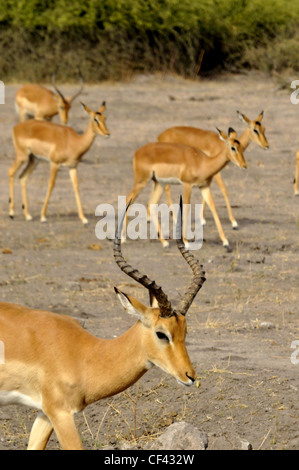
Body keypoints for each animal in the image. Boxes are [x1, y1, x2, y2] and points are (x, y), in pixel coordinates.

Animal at [0, 199, 205, 452]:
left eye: (185, 331)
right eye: (161, 334)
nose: (190, 376)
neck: (85, 354)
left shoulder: (45, 414)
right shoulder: (61, 413)